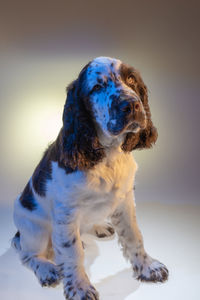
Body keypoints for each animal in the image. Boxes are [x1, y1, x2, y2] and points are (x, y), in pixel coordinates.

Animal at [12, 56, 169, 300]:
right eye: (97, 87)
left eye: (131, 79)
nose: (132, 105)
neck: (109, 155)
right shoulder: (66, 212)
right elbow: (72, 252)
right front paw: (79, 288)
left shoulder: (125, 200)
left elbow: (134, 235)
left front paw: (148, 267)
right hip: (33, 229)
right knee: (28, 253)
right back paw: (47, 269)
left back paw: (98, 226)